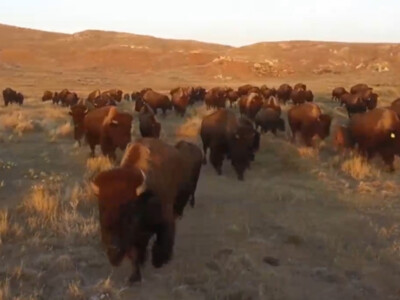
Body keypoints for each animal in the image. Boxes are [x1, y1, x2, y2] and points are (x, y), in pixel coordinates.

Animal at [91, 139, 203, 282]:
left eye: (128, 209)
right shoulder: (136, 236)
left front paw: (158, 262)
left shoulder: (165, 220)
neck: (143, 198)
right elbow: (135, 254)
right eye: (102, 208)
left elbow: (162, 241)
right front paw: (134, 277)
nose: (113, 248)